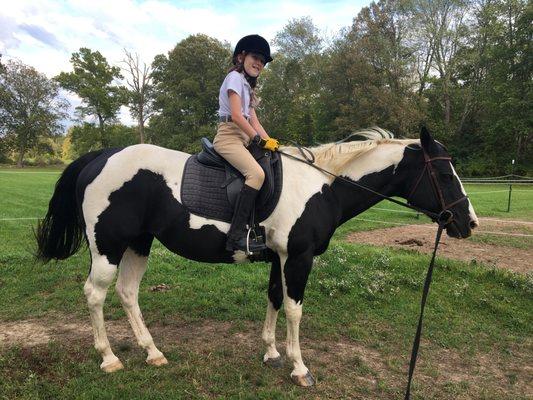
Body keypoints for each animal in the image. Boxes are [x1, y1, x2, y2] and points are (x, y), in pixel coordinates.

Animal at [36, 126, 478, 386]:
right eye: (443, 174)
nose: (468, 222)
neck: (322, 186)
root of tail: (100, 156)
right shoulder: (299, 257)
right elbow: (295, 308)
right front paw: (299, 367)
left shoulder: (280, 257)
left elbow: (275, 299)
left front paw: (271, 352)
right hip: (108, 248)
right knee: (95, 294)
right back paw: (109, 358)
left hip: (138, 244)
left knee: (127, 293)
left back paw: (153, 352)